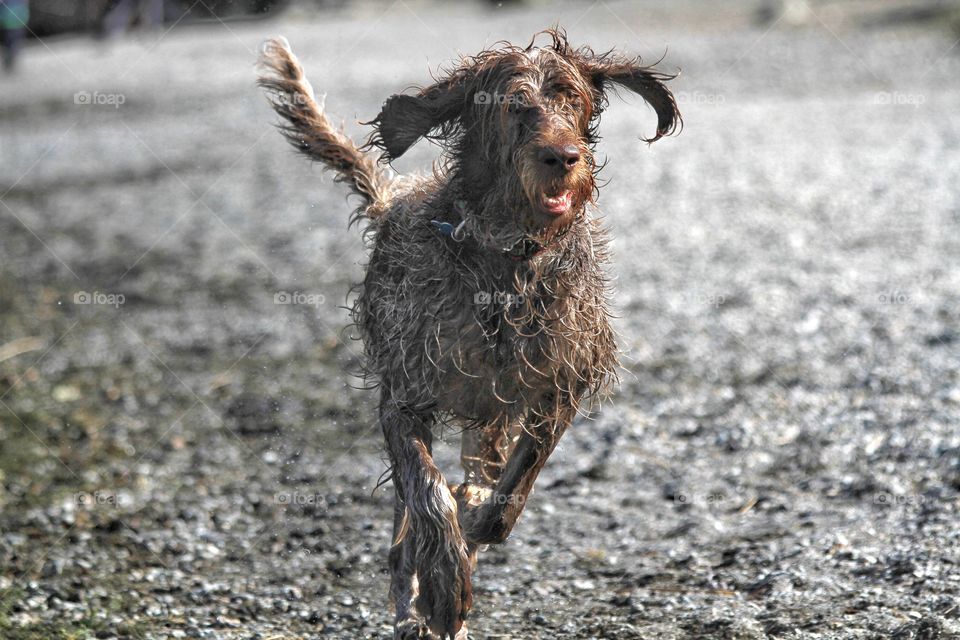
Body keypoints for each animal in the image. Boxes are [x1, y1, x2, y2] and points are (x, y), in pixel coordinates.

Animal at [258, 31, 684, 640]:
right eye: (512, 107)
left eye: (570, 100)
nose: (563, 158)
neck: (506, 262)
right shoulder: (404, 399)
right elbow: (429, 495)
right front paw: (443, 583)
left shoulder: (563, 380)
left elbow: (516, 481)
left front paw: (482, 514)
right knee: (405, 533)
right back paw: (415, 602)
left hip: (491, 413)